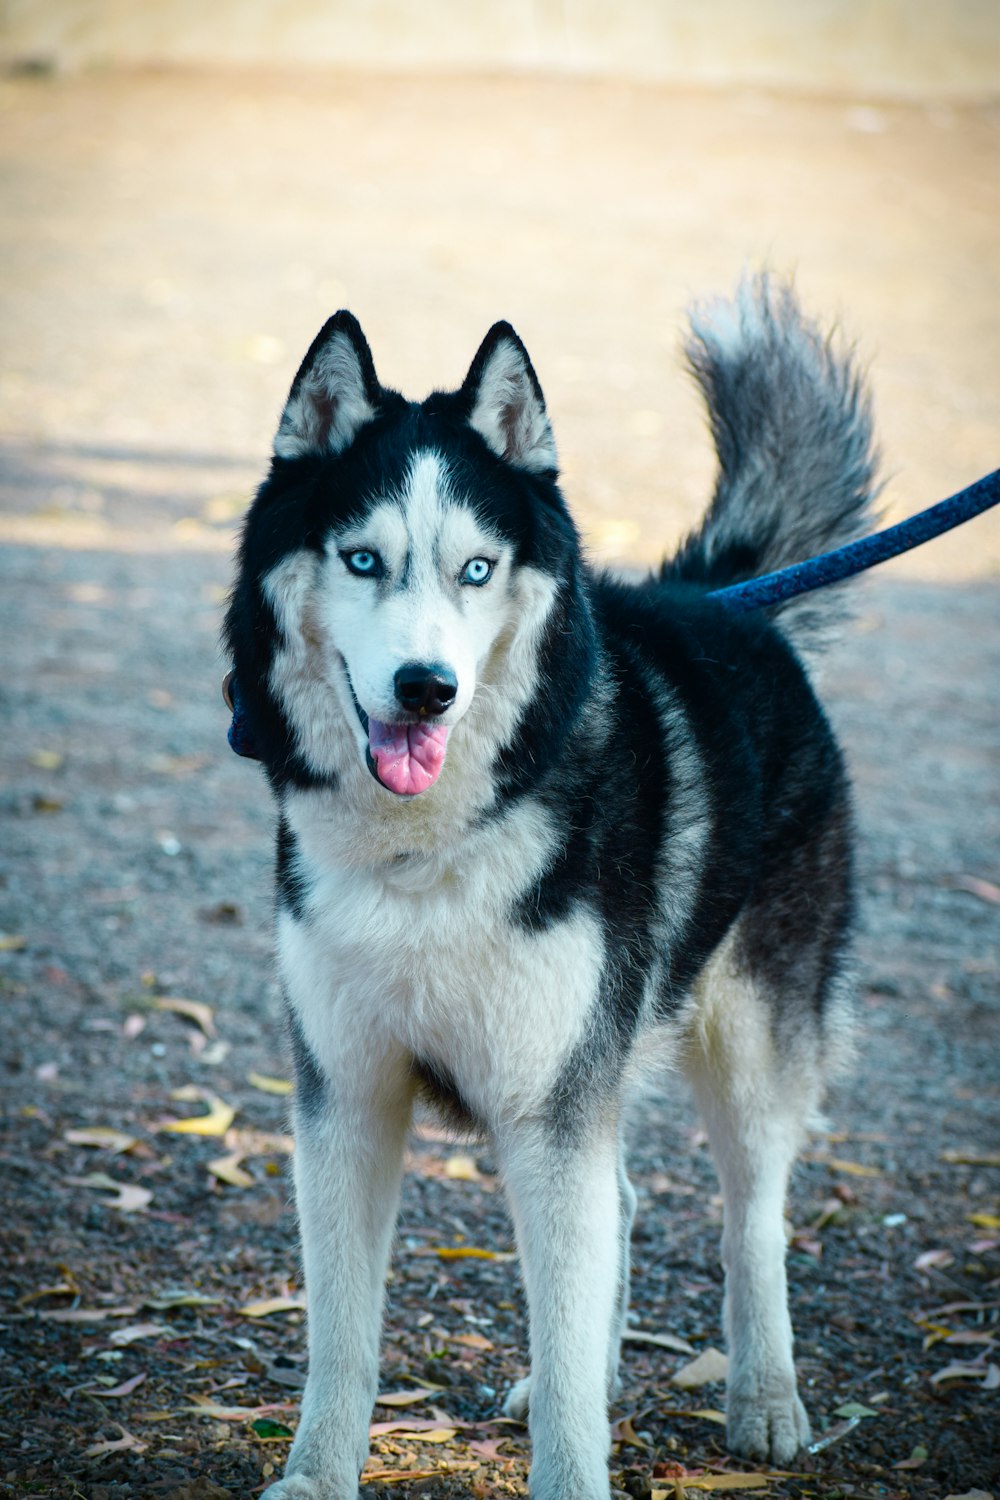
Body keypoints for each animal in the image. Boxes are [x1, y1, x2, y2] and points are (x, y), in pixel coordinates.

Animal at [224, 276, 875, 1494]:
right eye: (363, 560)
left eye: (476, 569)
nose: (425, 688)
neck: (425, 850)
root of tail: (721, 597)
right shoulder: (346, 1099)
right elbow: (342, 1333)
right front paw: (318, 1474)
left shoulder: (549, 1105)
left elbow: (571, 1352)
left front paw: (575, 1460)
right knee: (621, 1203)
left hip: (750, 1039)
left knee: (751, 1219)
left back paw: (765, 1396)